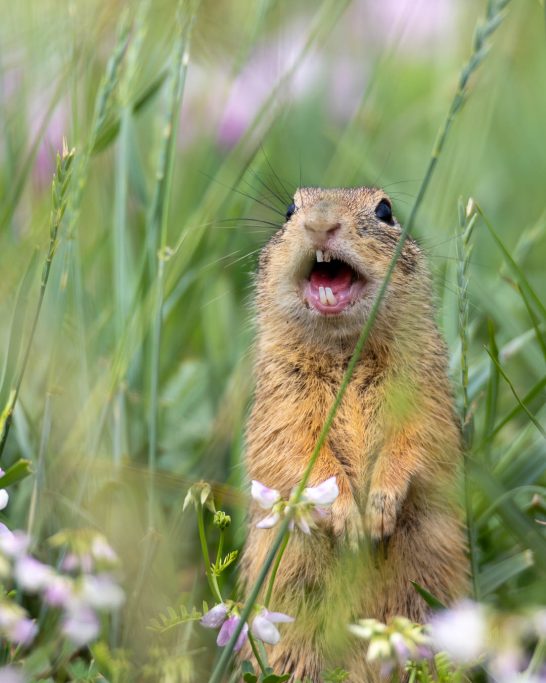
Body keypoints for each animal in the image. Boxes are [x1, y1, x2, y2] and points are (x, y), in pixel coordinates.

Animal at [240, 188, 466, 683]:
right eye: (289, 209)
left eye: (385, 210)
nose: (321, 223)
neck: (346, 350)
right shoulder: (282, 403)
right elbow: (296, 451)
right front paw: (348, 516)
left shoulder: (425, 397)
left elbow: (416, 444)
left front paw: (378, 509)